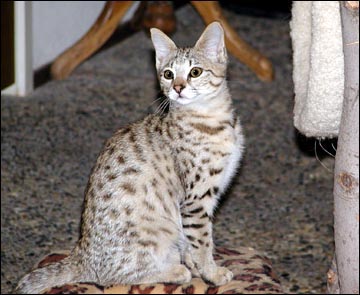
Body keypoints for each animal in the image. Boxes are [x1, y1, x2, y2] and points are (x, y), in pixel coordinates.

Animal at [14, 21, 245, 294]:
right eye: (168, 74)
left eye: (195, 72)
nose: (177, 88)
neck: (213, 119)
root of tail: (81, 254)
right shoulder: (196, 200)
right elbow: (202, 242)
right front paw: (211, 272)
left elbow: (192, 243)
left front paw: (198, 266)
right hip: (157, 231)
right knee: (110, 277)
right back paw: (175, 271)